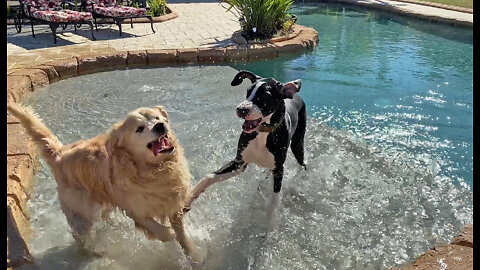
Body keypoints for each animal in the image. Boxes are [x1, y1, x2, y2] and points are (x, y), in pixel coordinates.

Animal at [184, 70, 308, 212]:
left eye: (265, 95)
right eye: (248, 91)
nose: (241, 109)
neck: (262, 133)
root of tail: (297, 97)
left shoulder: (278, 170)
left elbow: (273, 201)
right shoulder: (239, 163)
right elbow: (209, 177)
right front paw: (187, 200)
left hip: (297, 145)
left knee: (302, 163)